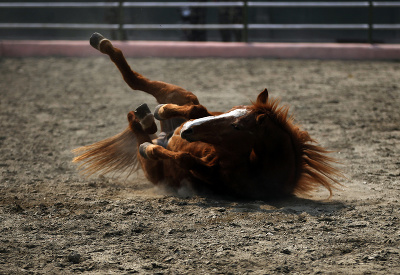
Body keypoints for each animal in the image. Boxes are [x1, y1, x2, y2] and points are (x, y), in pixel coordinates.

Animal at [72, 33, 340, 201]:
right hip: (178, 92)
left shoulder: (210, 173)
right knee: (136, 80)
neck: (256, 166)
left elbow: (183, 157)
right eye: (231, 110)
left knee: (140, 129)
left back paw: (145, 121)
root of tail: (162, 132)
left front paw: (154, 147)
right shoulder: (207, 116)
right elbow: (197, 112)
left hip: (152, 163)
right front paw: (166, 112)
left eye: (237, 127)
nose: (186, 130)